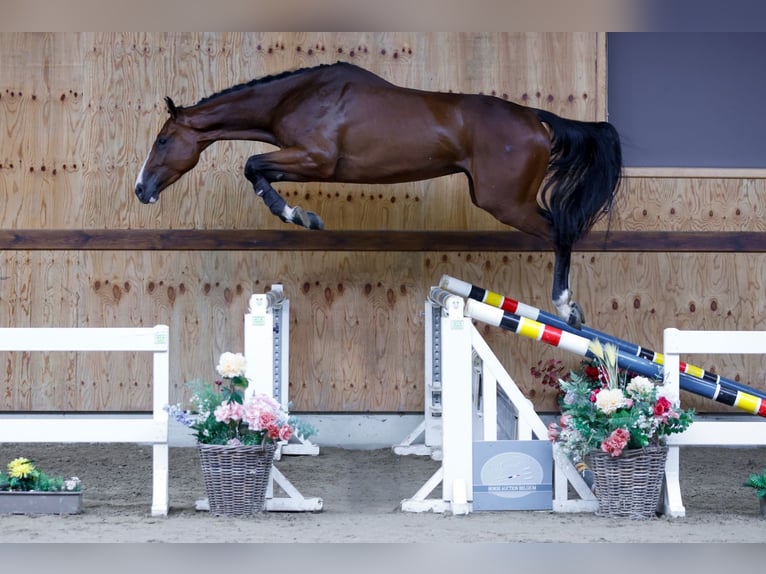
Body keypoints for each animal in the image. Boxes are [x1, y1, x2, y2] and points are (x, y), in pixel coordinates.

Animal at [134, 62, 624, 328]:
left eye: (162, 140)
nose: (142, 190)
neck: (299, 96)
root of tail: (536, 119)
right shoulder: (305, 160)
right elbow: (257, 169)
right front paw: (301, 215)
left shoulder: (316, 159)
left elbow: (253, 165)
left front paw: (301, 216)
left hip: (505, 202)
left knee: (561, 231)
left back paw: (567, 306)